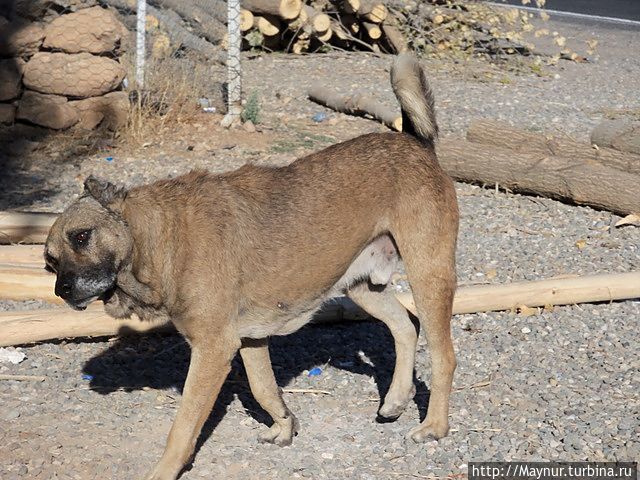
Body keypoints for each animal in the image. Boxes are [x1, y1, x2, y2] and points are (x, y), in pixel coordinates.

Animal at [45, 54, 460, 478]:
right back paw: (395, 400)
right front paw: (285, 425)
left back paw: (434, 426)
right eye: (50, 262)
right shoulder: (249, 340)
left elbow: (184, 426)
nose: (62, 290)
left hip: (428, 275)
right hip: (362, 287)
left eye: (82, 236)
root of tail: (415, 143)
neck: (160, 238)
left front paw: (165, 470)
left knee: (443, 355)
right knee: (405, 326)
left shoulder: (213, 350)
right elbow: (264, 389)